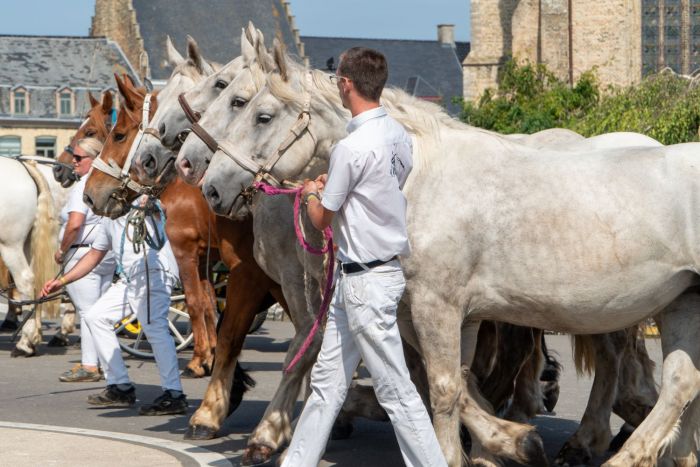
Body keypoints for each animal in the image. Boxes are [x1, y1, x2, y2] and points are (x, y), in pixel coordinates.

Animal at [190, 48, 700, 467]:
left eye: (258, 112)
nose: (211, 186)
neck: (417, 176)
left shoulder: (437, 306)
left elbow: (440, 387)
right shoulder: (447, 313)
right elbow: (452, 383)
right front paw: (507, 441)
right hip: (681, 302)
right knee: (681, 382)